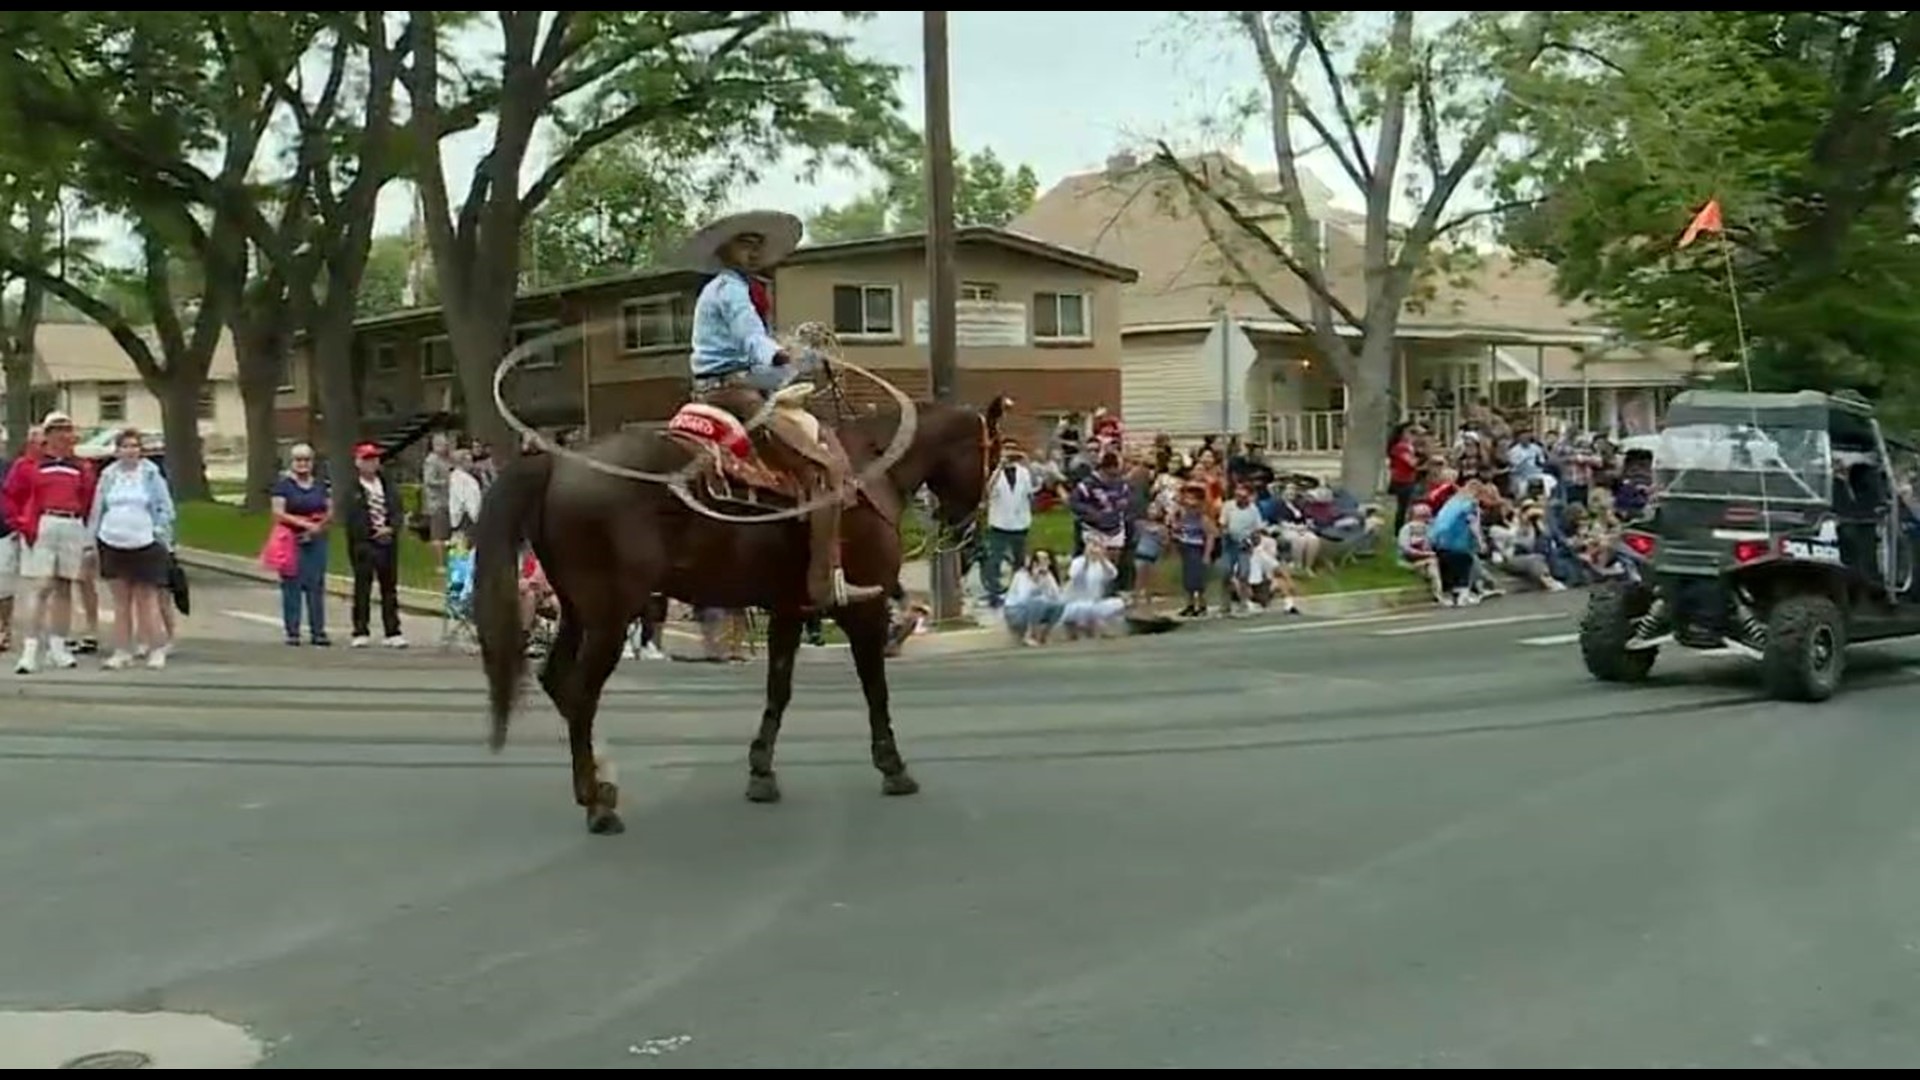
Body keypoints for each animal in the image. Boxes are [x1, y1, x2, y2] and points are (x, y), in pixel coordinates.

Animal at [468, 393, 1006, 834]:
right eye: (995, 456)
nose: (967, 530)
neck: (873, 468)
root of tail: (555, 465)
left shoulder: (790, 608)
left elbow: (779, 689)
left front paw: (761, 771)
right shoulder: (866, 608)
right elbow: (876, 688)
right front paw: (893, 766)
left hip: (578, 611)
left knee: (557, 680)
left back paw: (600, 784)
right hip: (610, 616)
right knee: (581, 694)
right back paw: (598, 807)